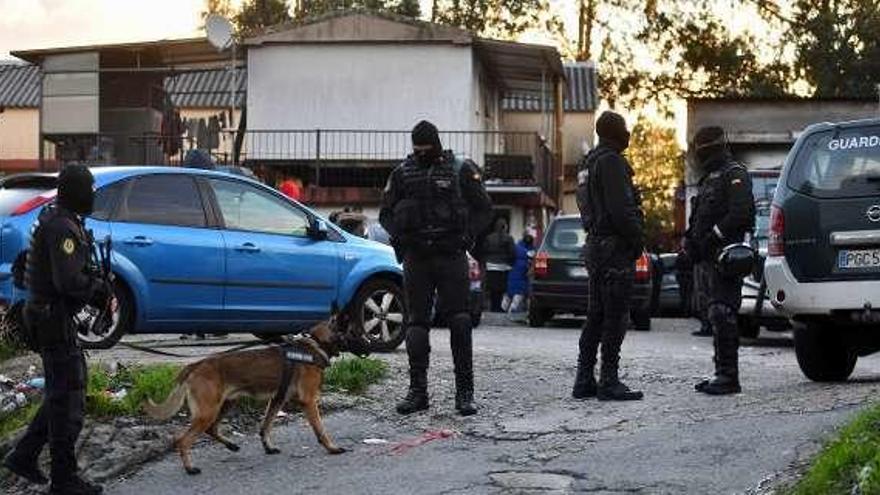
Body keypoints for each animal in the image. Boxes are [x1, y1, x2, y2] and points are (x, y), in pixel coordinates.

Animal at [144, 310, 368, 476]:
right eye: (356, 333)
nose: (370, 345)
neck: (316, 344)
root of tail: (195, 365)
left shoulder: (277, 399)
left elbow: (265, 426)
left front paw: (268, 447)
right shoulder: (309, 401)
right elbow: (321, 430)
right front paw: (332, 448)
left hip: (226, 404)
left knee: (211, 429)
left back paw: (231, 446)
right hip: (208, 411)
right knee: (183, 439)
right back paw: (190, 468)